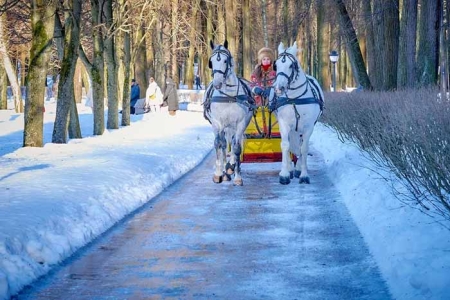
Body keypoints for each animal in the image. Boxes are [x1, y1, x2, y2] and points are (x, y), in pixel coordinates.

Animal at [205, 39, 255, 185]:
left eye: (225, 60)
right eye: (211, 61)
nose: (217, 83)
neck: (228, 97)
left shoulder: (240, 124)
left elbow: (236, 148)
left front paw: (237, 177)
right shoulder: (217, 123)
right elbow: (218, 144)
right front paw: (218, 174)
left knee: (232, 143)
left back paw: (230, 167)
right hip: (224, 126)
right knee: (223, 144)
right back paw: (225, 170)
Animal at [268, 41, 326, 184]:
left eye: (291, 65)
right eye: (276, 65)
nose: (279, 88)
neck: (295, 99)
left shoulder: (308, 126)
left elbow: (304, 148)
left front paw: (304, 174)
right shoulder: (284, 124)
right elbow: (285, 145)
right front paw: (284, 174)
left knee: (300, 145)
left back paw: (298, 168)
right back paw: (289, 168)